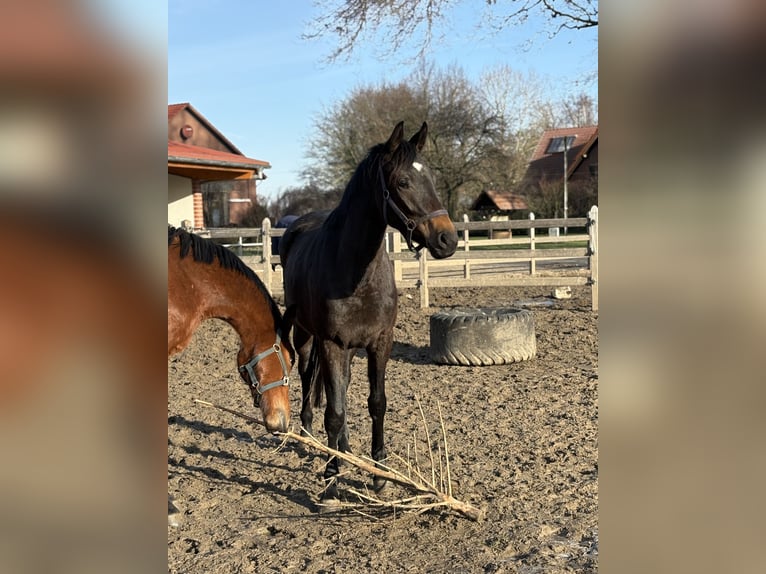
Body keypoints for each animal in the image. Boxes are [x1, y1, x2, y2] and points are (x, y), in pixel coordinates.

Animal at [279, 121, 458, 503]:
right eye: (403, 182)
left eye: (431, 177)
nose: (447, 240)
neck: (354, 272)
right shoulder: (331, 343)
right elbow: (333, 412)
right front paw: (331, 481)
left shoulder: (379, 342)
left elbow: (376, 403)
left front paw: (379, 473)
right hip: (306, 336)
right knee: (308, 377)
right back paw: (311, 436)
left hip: (348, 349)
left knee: (341, 388)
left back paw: (345, 449)